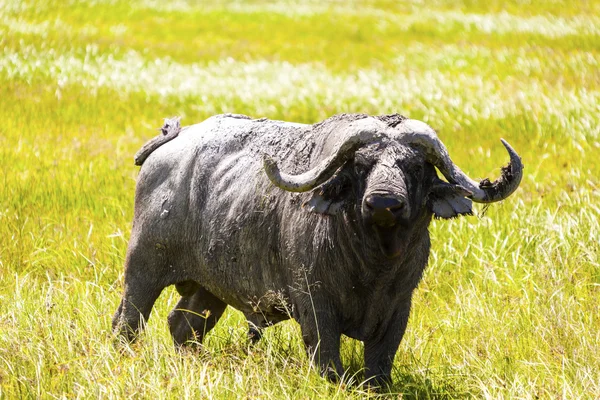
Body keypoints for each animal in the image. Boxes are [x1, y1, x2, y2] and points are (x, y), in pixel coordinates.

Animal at [113, 112, 524, 388]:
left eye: (415, 167)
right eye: (361, 165)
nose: (384, 203)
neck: (371, 268)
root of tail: (171, 143)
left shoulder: (399, 306)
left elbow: (381, 360)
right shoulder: (314, 302)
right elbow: (326, 353)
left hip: (209, 288)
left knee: (183, 325)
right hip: (143, 267)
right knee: (128, 321)